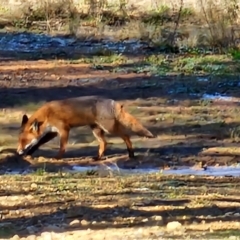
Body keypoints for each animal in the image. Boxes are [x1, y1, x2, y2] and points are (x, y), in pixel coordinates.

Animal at [17, 95, 156, 159]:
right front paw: (28, 153)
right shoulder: (53, 132)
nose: (18, 151)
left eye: (24, 141)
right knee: (104, 143)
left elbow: (62, 146)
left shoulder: (64, 129)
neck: (47, 115)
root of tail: (113, 102)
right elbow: (38, 143)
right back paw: (98, 158)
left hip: (109, 128)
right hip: (96, 129)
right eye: (19, 141)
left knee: (126, 136)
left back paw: (131, 154)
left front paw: (58, 157)